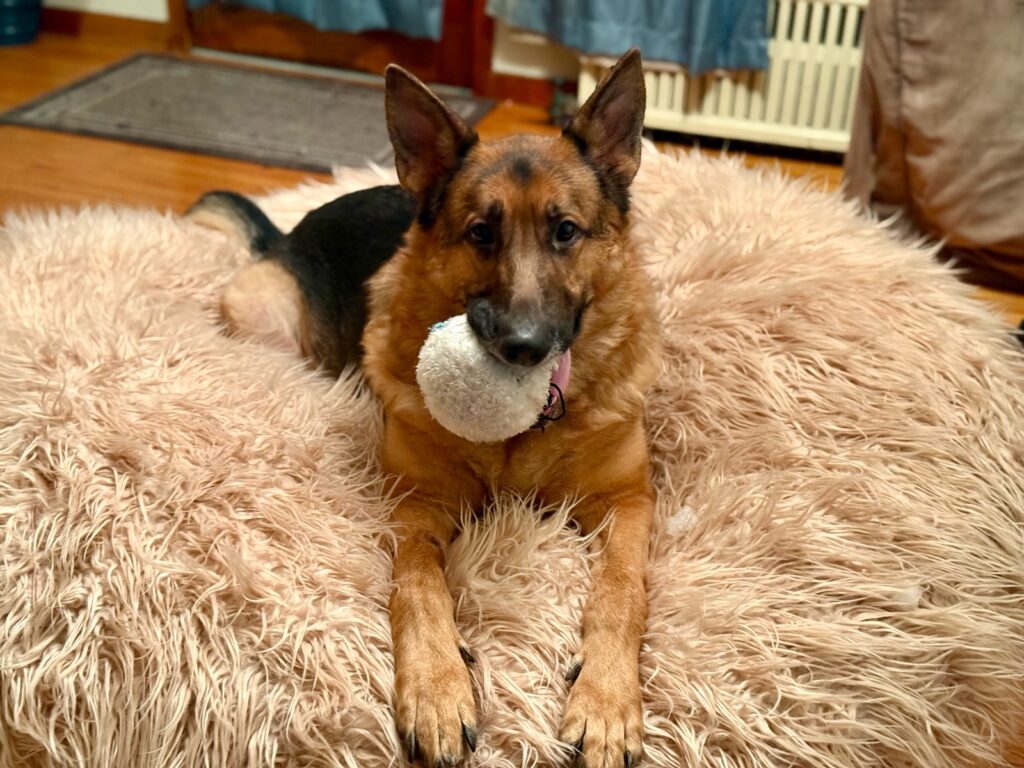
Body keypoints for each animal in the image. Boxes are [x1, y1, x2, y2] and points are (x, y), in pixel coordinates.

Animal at [188, 49, 659, 768]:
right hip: (265, 324)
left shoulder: (627, 503)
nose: (523, 348)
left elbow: (621, 590)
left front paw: (605, 700)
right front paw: (438, 687)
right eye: (481, 233)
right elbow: (417, 584)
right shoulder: (415, 507)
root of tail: (288, 233)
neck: (519, 437)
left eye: (565, 233)